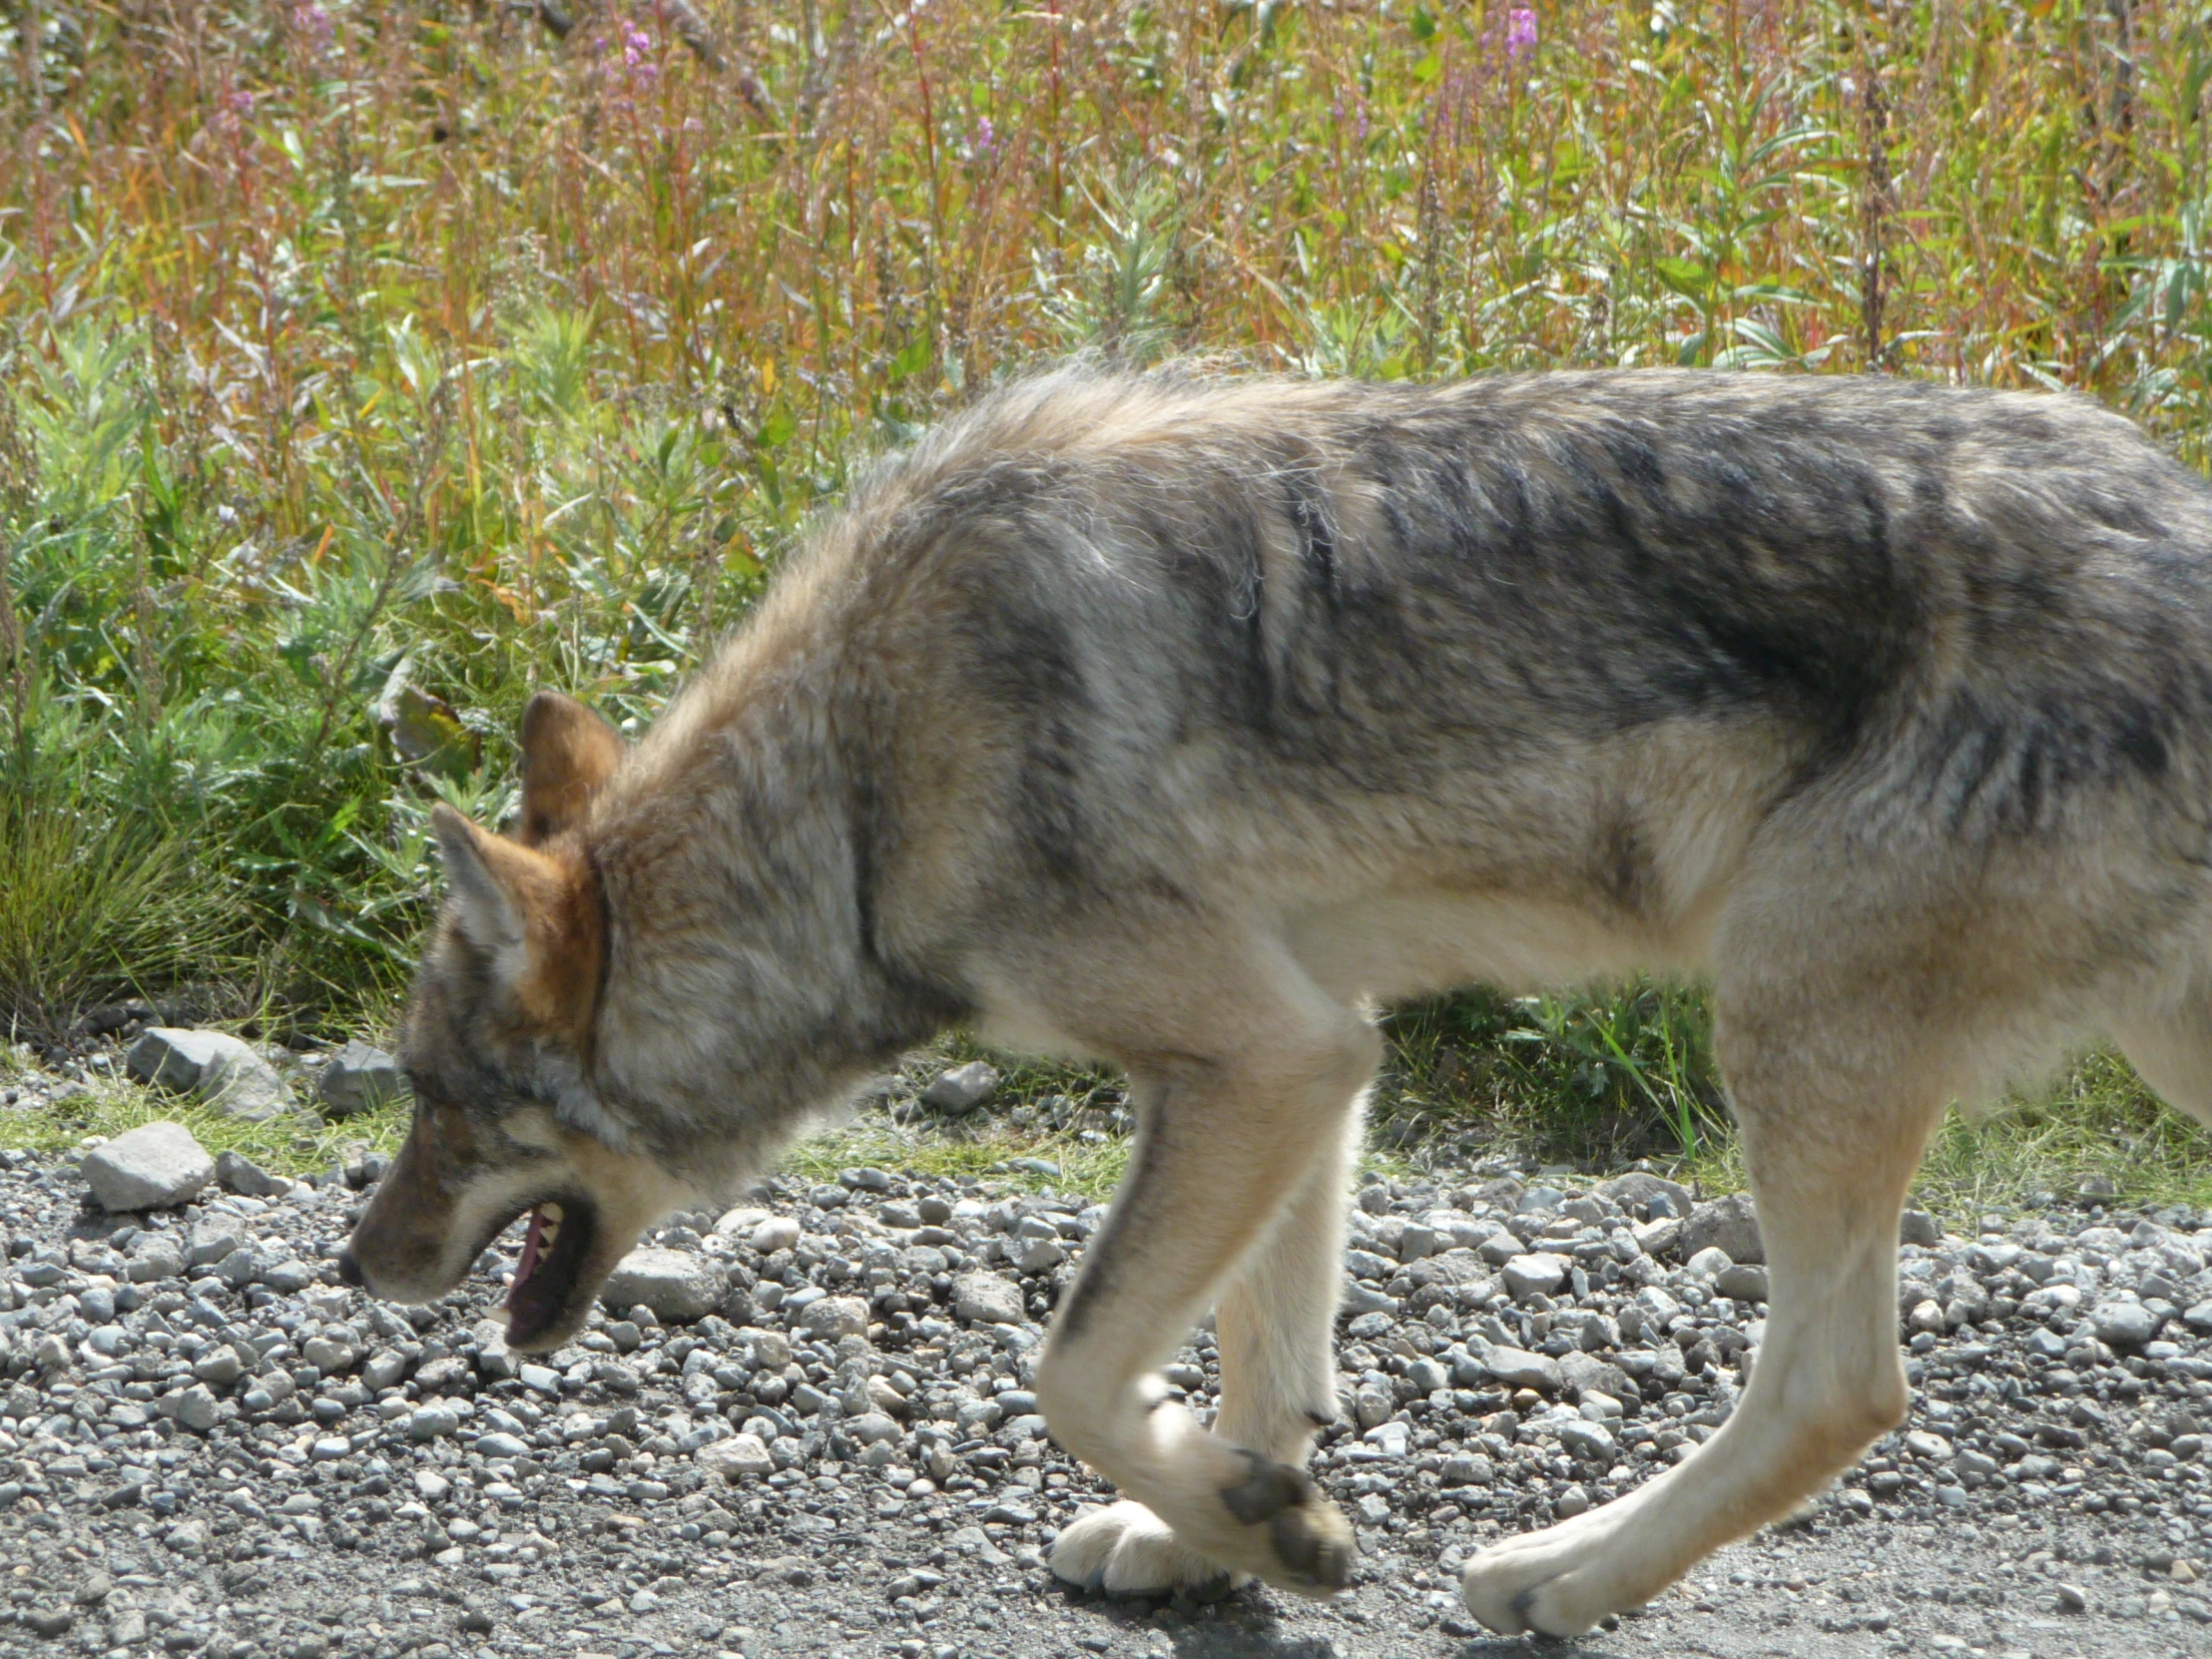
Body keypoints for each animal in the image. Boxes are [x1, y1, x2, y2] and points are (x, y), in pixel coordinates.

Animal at [335, 369, 2212, 1645]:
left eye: (439, 1098)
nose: (358, 1263)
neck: (857, 785)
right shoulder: (1314, 1049)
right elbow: (1261, 1351)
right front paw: (1227, 1516)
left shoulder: (1264, 1051)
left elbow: (1074, 1364)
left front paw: (1269, 1531)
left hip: (1781, 1022)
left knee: (1838, 1387)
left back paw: (1559, 1572)